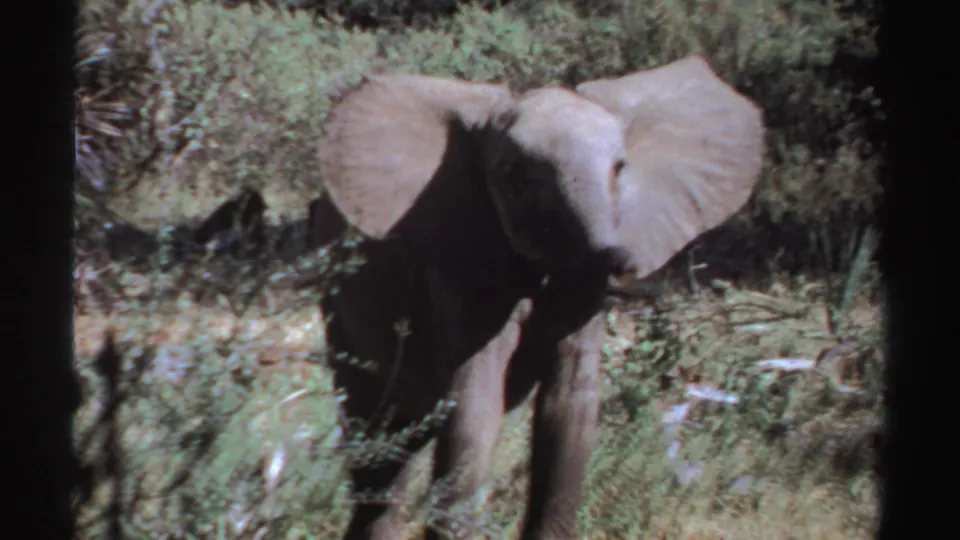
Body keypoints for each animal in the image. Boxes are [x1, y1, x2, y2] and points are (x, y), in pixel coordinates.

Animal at [312, 55, 765, 540]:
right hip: (338, 306)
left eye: (620, 168)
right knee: (374, 437)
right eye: (514, 176)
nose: (619, 260)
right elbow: (474, 406)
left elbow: (569, 410)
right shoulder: (459, 260)